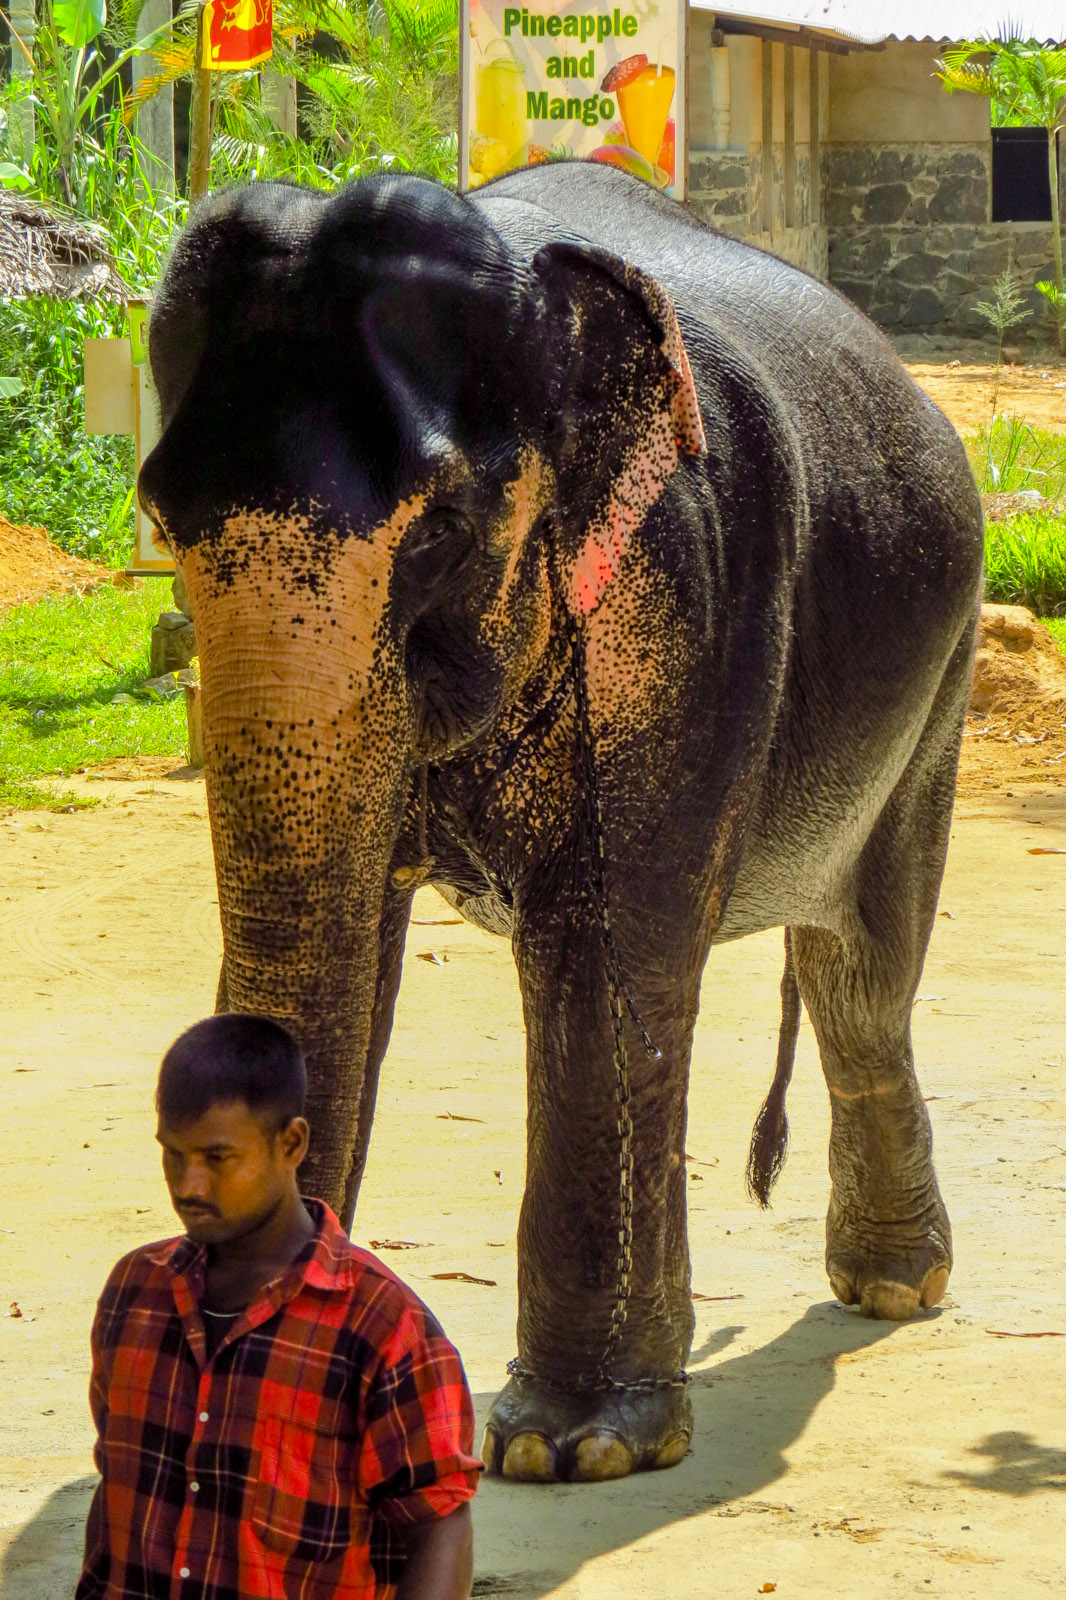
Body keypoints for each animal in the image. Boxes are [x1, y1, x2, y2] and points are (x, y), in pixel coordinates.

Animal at [139, 162, 979, 1484]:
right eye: (163, 526)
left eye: (439, 532)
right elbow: (357, 946)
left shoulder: (680, 611)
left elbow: (606, 954)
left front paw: (573, 1448)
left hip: (943, 675)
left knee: (862, 971)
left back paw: (894, 1290)